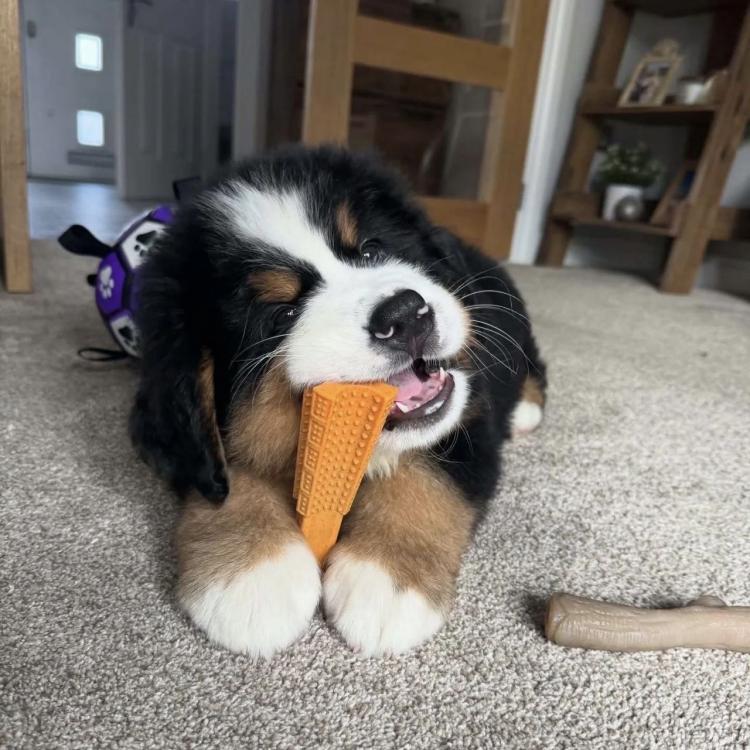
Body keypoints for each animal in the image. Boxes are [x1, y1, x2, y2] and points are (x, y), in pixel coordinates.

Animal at [130, 145, 546, 657]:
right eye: (283, 312)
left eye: (372, 250)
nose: (405, 314)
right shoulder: (199, 447)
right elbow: (230, 475)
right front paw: (251, 574)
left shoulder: (469, 416)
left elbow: (424, 478)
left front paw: (388, 580)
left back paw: (526, 409)